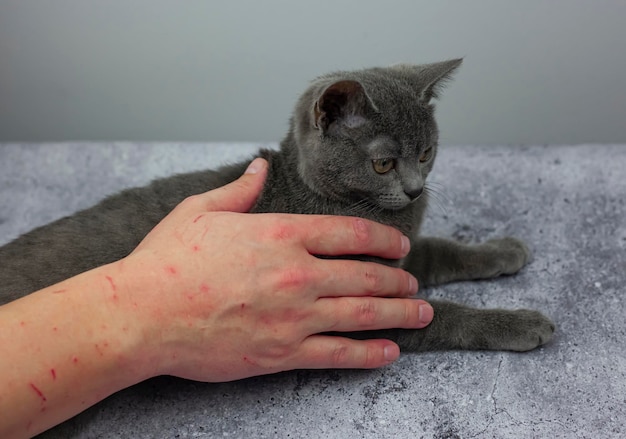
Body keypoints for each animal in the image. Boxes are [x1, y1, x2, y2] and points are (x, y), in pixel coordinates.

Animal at [0, 59, 552, 354]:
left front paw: (502, 250)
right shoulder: (354, 298)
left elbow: (440, 249)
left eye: (426, 153)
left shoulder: (396, 252)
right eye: (382, 164)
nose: (416, 190)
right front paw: (522, 324)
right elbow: (436, 315)